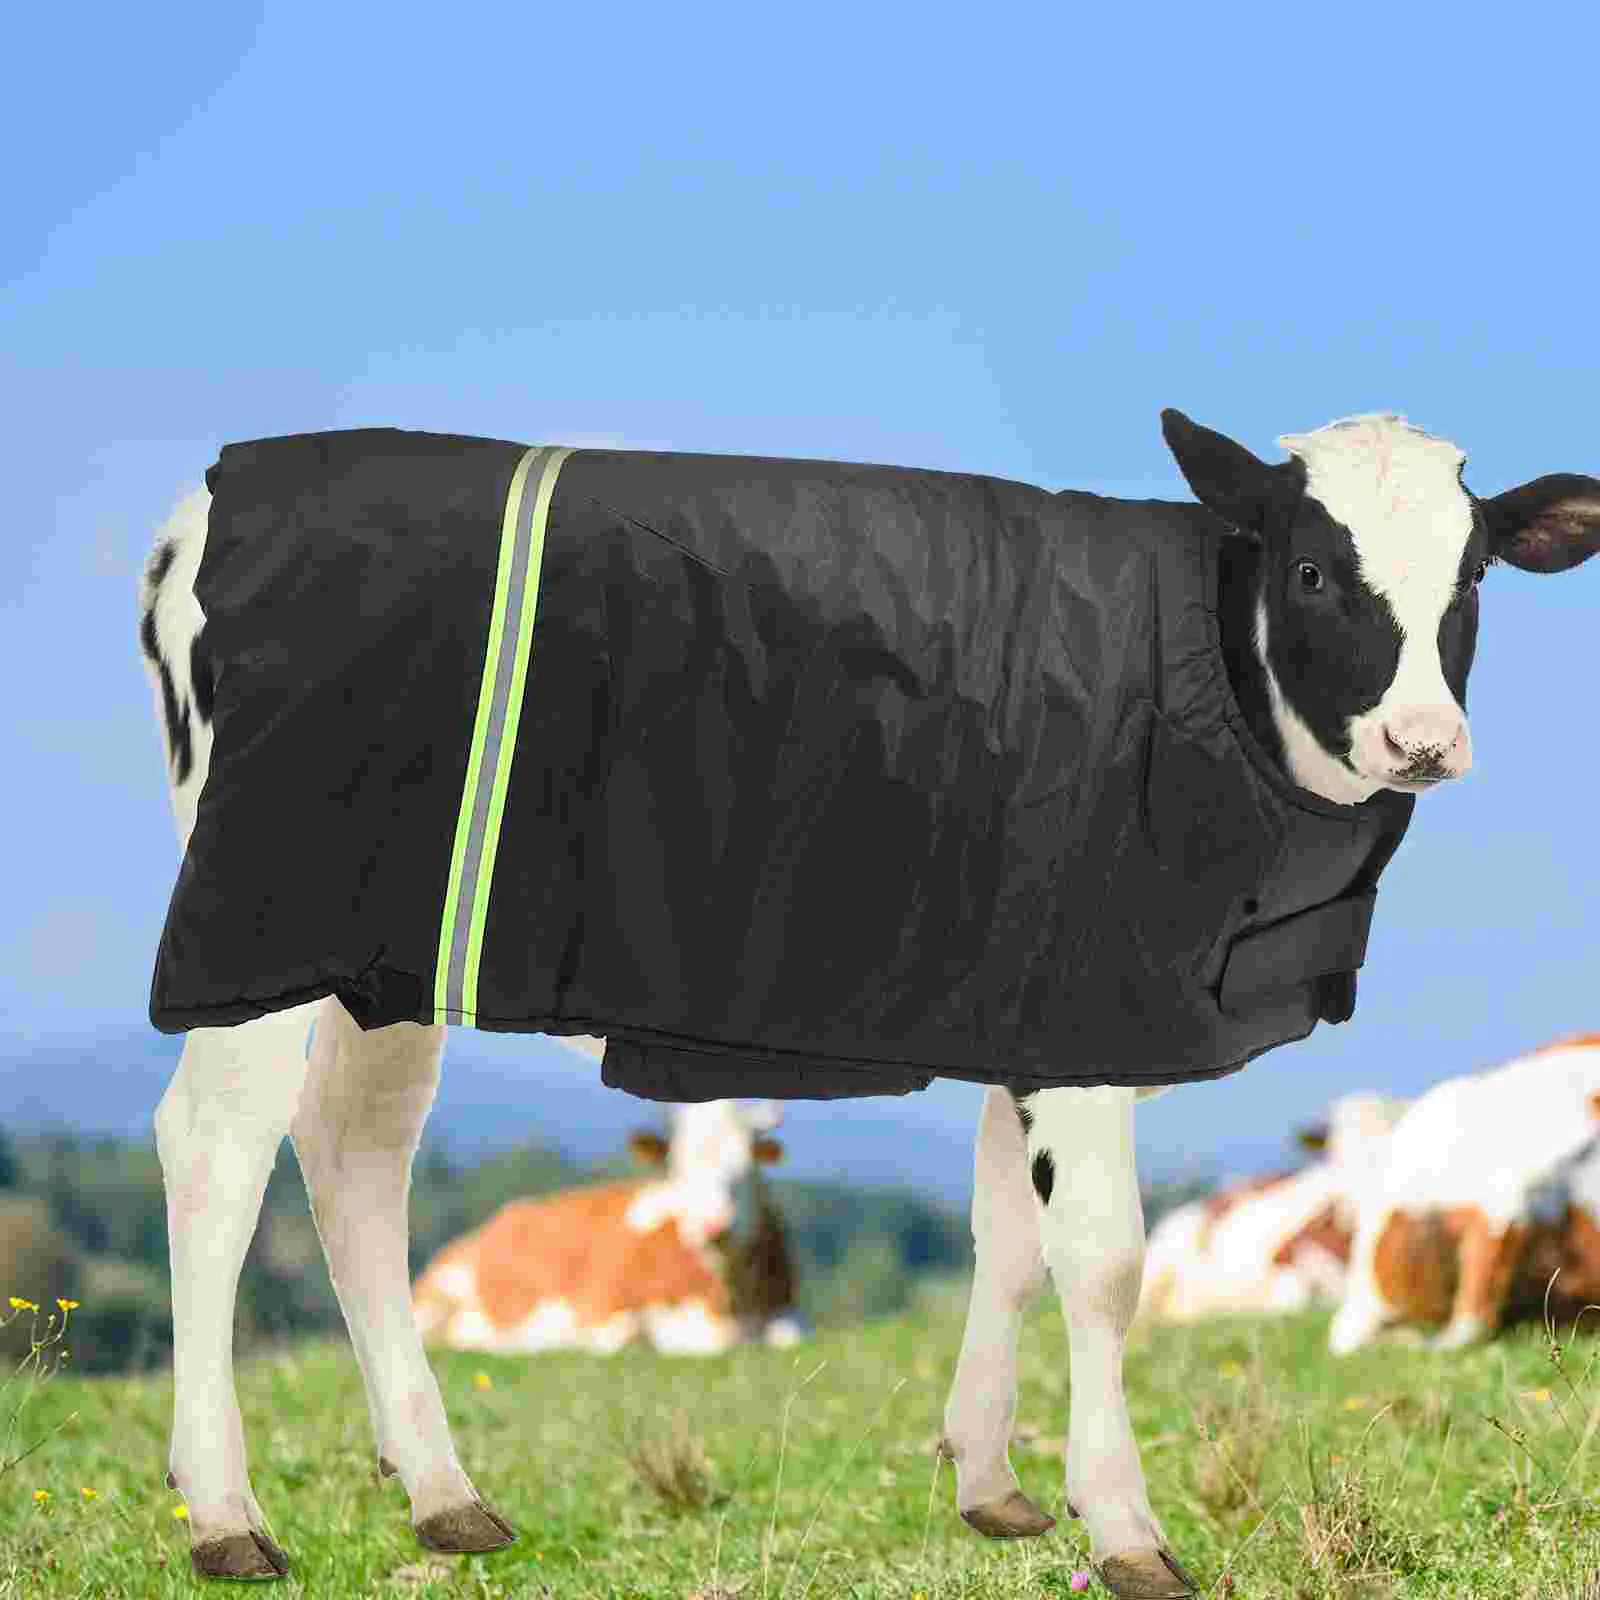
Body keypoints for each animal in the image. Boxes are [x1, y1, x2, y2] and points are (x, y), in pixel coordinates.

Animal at [411, 1092, 806, 1356]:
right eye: (679, 1168)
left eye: (747, 1167)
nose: (713, 1226)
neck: (728, 1298)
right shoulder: (604, 1314)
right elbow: (631, 1338)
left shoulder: (786, 1312)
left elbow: (788, 1337)